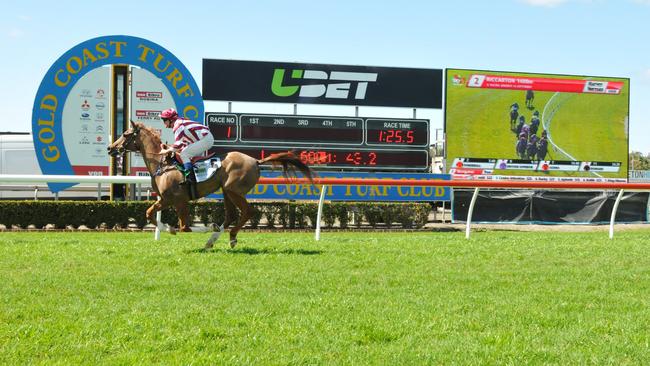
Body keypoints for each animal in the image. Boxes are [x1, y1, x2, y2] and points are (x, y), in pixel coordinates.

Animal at [107, 121, 314, 250]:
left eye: (125, 134)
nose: (110, 148)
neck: (162, 164)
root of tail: (256, 160)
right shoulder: (165, 199)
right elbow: (149, 213)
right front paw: (170, 229)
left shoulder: (177, 200)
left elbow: (184, 227)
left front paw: (193, 227)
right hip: (226, 191)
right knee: (231, 215)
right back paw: (213, 240)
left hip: (233, 190)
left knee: (247, 211)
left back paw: (229, 236)